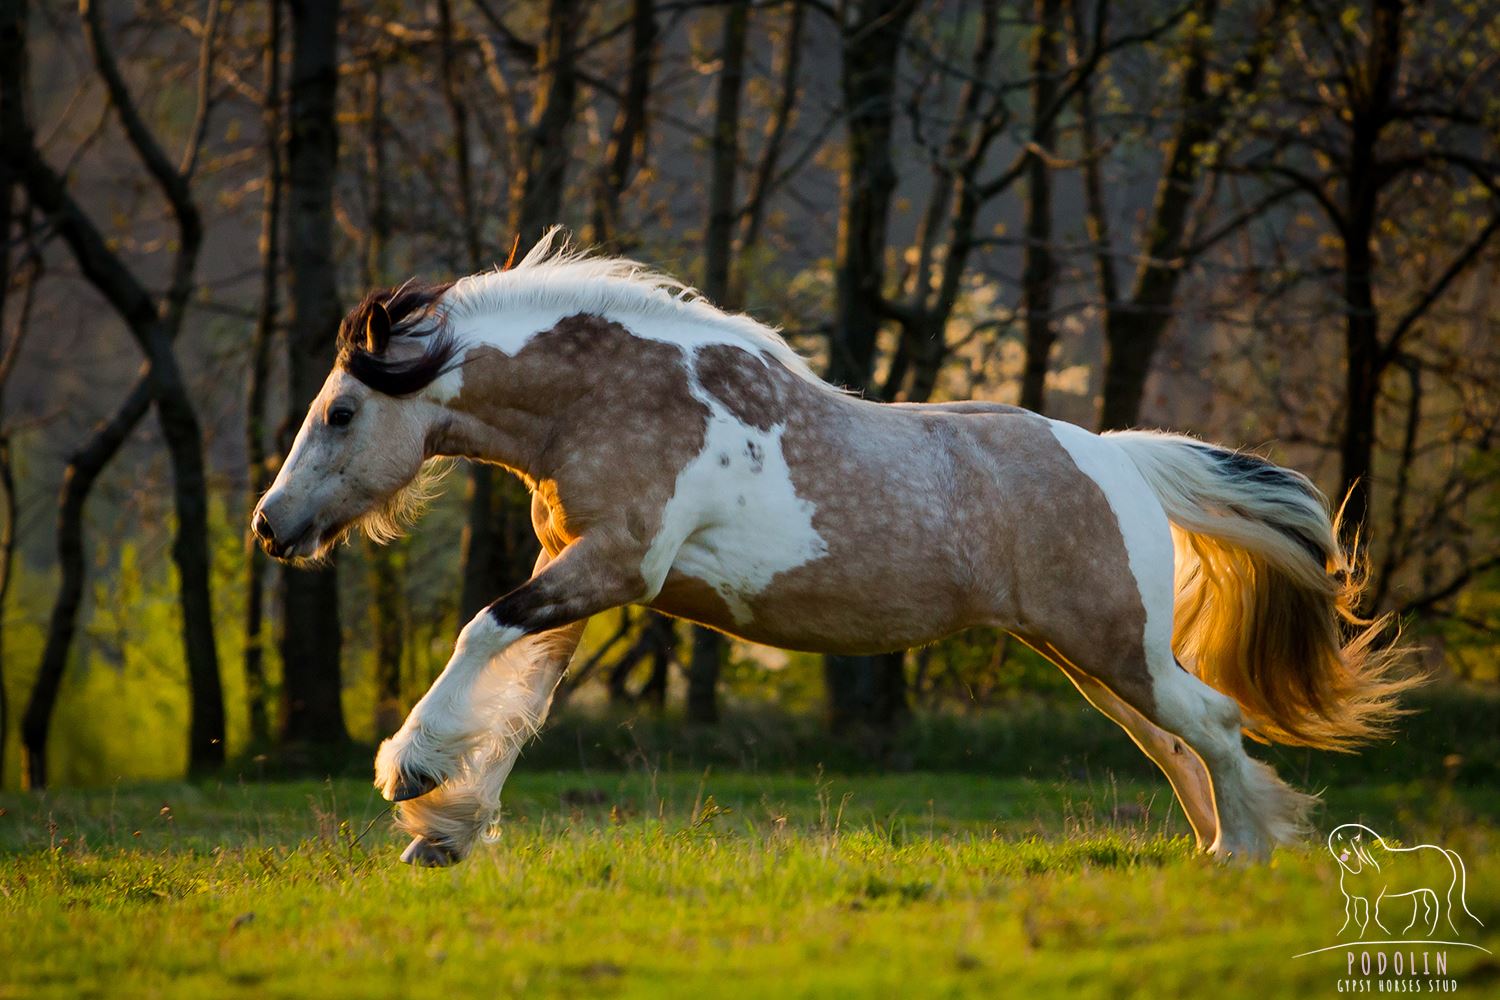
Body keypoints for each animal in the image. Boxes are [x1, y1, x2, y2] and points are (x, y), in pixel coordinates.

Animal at [252, 229, 1410, 869]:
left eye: (342, 412)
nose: (271, 526)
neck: (612, 396)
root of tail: (1118, 456)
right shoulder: (582, 579)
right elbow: (519, 706)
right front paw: (446, 831)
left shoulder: (613, 567)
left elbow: (480, 636)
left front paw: (408, 774)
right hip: (1093, 660)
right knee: (1179, 745)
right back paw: (1216, 850)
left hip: (1116, 647)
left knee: (1212, 724)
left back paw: (1245, 855)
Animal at [1332, 821, 1482, 941]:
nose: (1341, 848)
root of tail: (1446, 853)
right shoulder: (1352, 898)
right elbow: (1352, 915)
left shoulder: (1372, 896)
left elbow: (1371, 915)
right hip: (1421, 891)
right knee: (1425, 909)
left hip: (1439, 890)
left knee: (1442, 908)